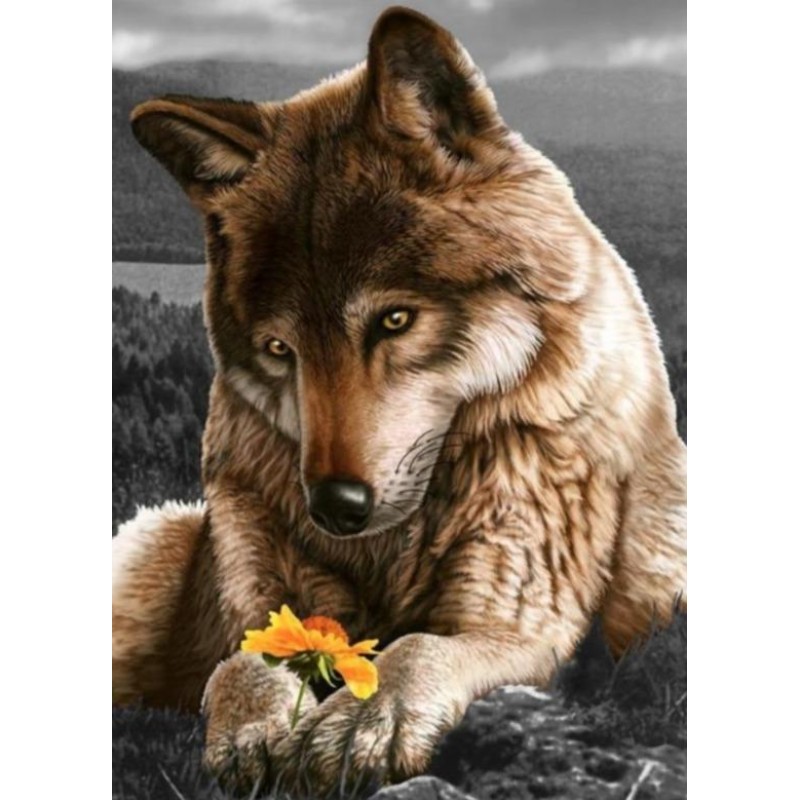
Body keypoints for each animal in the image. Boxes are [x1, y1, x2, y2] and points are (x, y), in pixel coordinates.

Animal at [113, 6, 686, 796]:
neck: (392, 549)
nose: (334, 507)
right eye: (280, 349)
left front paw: (363, 720)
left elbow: (415, 646)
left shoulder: (520, 624)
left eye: (394, 320)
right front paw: (257, 730)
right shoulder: (260, 599)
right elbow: (242, 660)